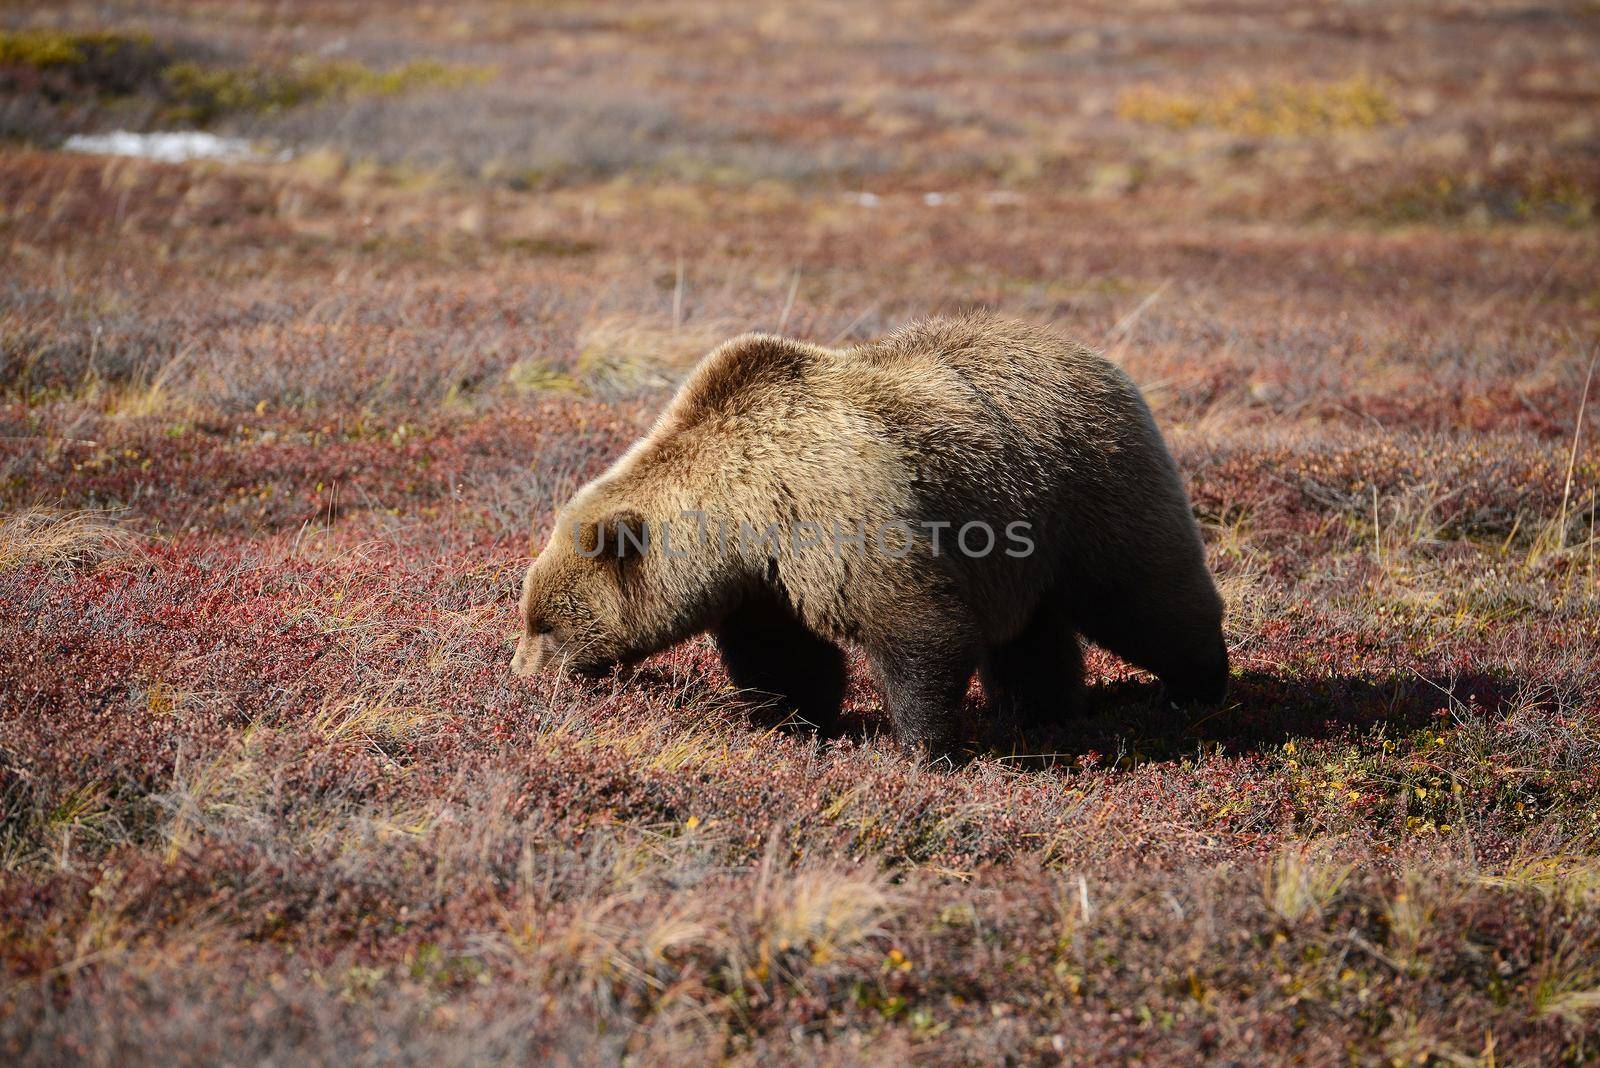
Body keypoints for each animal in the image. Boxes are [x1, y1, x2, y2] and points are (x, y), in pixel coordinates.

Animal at [512, 310, 1222, 757]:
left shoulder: (837, 512)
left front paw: (923, 747)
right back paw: (1040, 711)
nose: (520, 674)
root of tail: (1102, 360)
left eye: (544, 623)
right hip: (1021, 535)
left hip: (1089, 491)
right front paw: (790, 722)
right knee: (1033, 636)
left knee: (1148, 600)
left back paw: (1200, 692)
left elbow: (915, 628)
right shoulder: (766, 580)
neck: (738, 515)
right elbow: (783, 654)